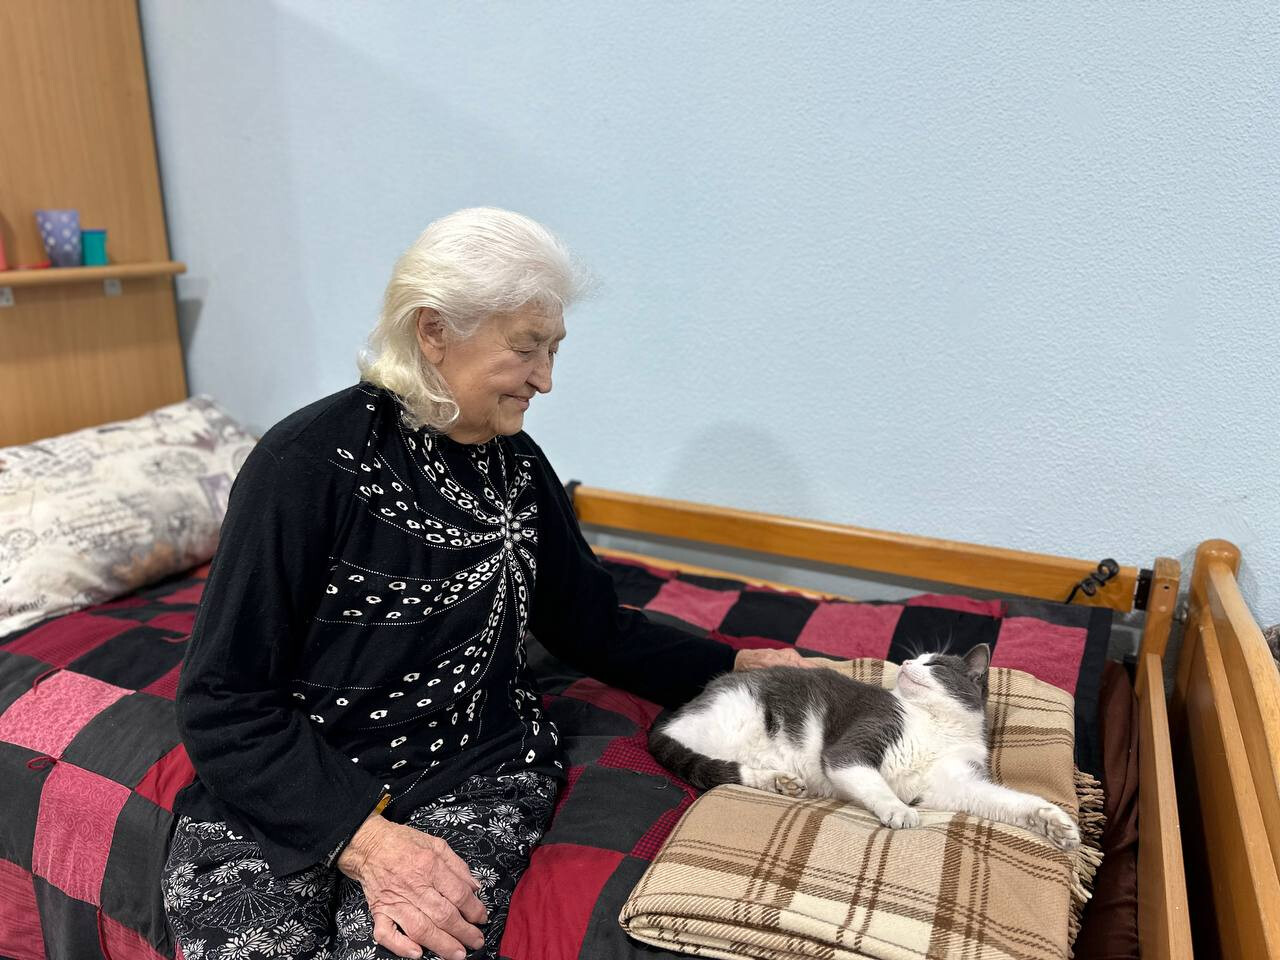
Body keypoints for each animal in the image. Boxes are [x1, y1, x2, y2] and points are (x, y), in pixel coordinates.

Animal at [648, 644, 1080, 850]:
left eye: (935, 665)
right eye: (915, 657)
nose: (906, 663)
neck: (936, 726)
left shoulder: (953, 782)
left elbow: (999, 799)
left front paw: (1053, 823)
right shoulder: (854, 746)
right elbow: (873, 782)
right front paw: (898, 810)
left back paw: (778, 781)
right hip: (732, 718)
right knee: (710, 761)